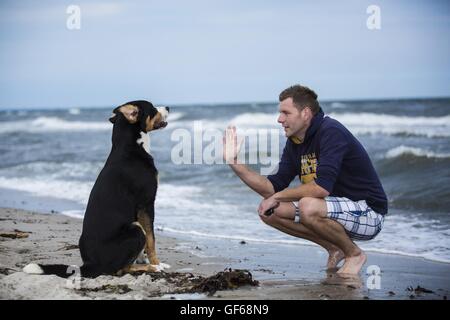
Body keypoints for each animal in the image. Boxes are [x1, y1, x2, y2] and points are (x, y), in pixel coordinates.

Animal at [23, 100, 170, 278]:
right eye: (153, 108)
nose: (168, 107)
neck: (130, 147)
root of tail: (90, 264)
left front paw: (146, 260)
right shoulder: (146, 204)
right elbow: (151, 239)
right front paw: (156, 263)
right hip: (135, 229)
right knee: (121, 269)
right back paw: (150, 268)